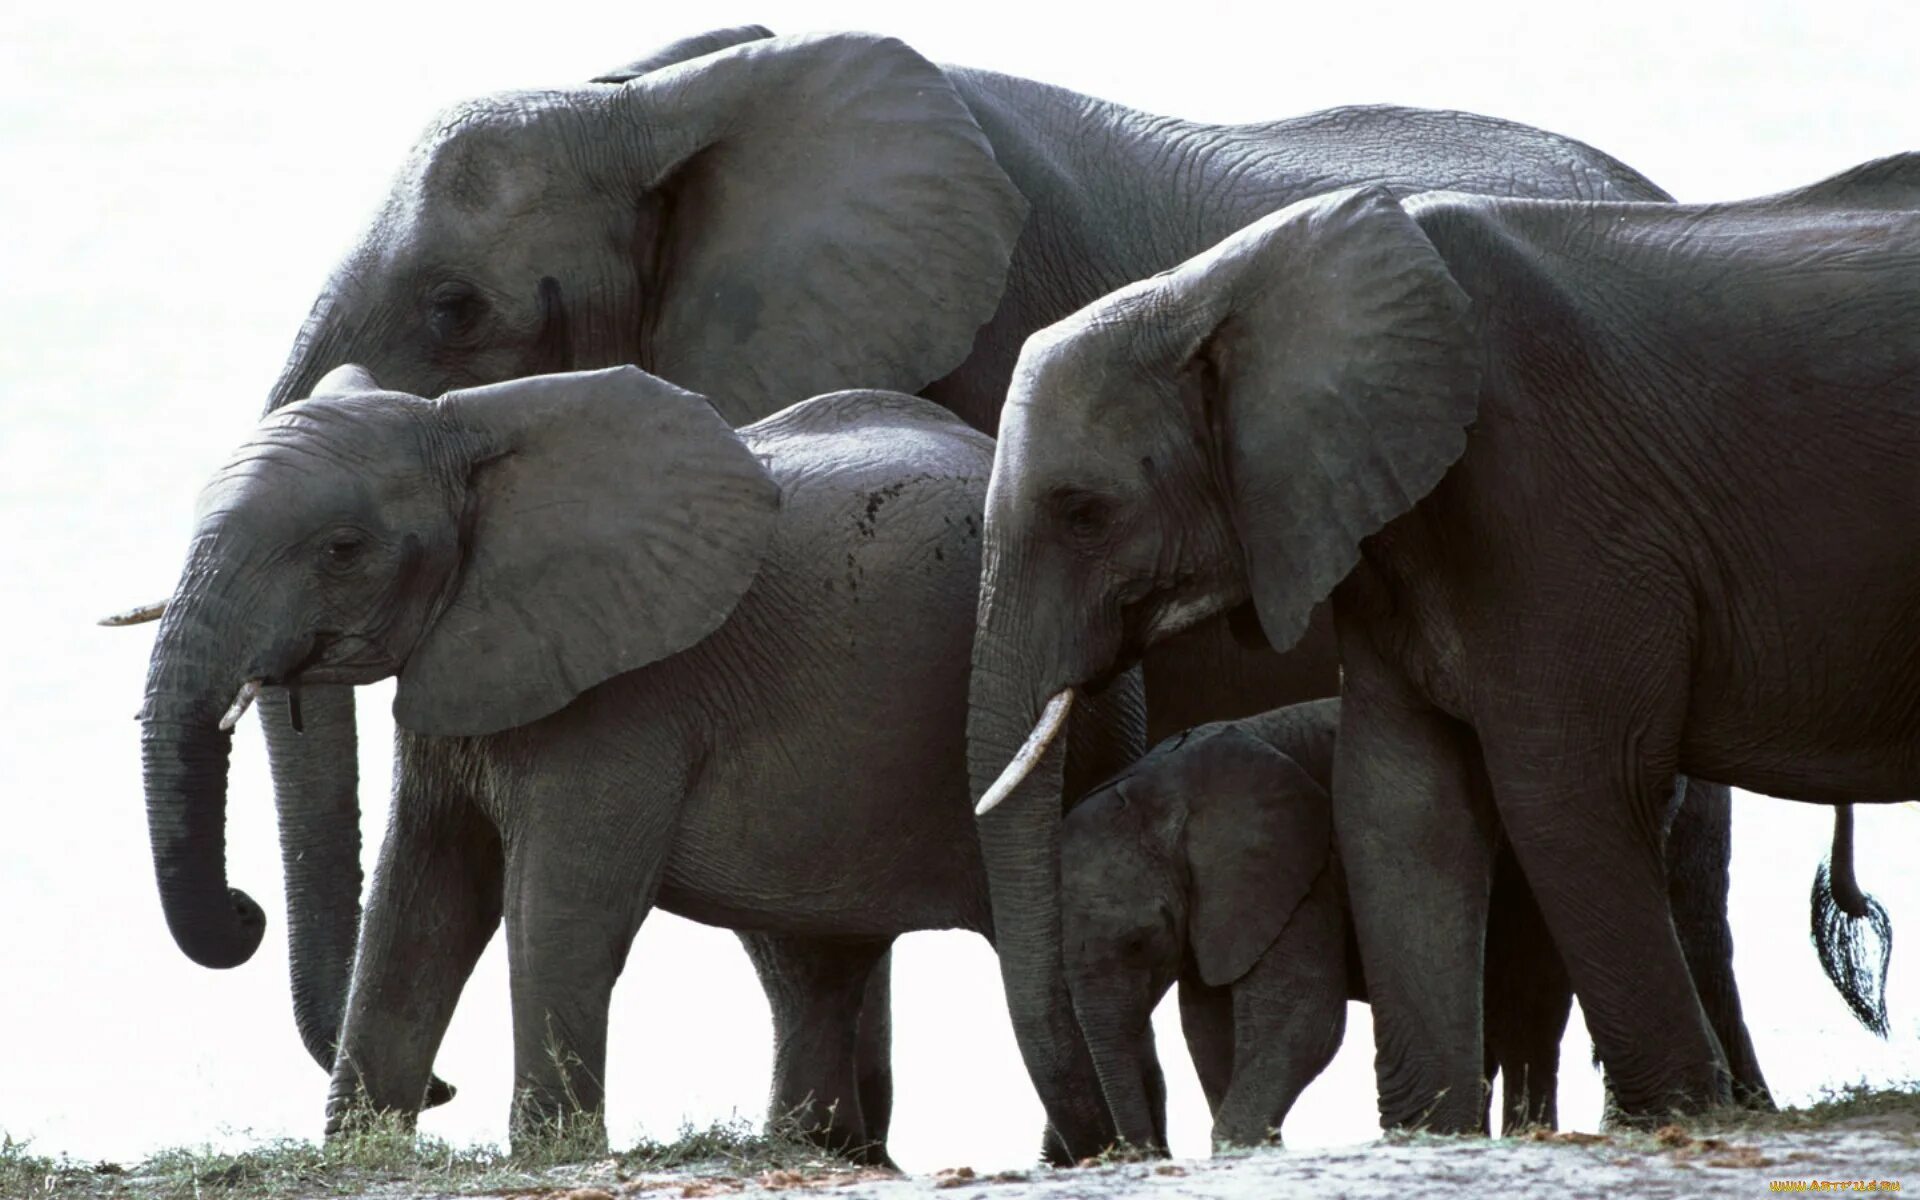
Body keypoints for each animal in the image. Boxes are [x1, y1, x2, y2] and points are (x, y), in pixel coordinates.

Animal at [139, 364, 1136, 1159]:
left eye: (342, 550)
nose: (244, 910)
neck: (466, 424)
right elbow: (421, 897)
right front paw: (360, 1153)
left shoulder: (623, 692)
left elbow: (560, 909)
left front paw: (550, 1155)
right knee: (811, 964)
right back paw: (815, 1151)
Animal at [1059, 698, 1774, 1144]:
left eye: (1140, 941)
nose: (1146, 1154)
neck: (1162, 788)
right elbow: (1209, 1027)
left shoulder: (1301, 862)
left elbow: (1304, 1016)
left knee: (1528, 1008)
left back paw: (1524, 1134)